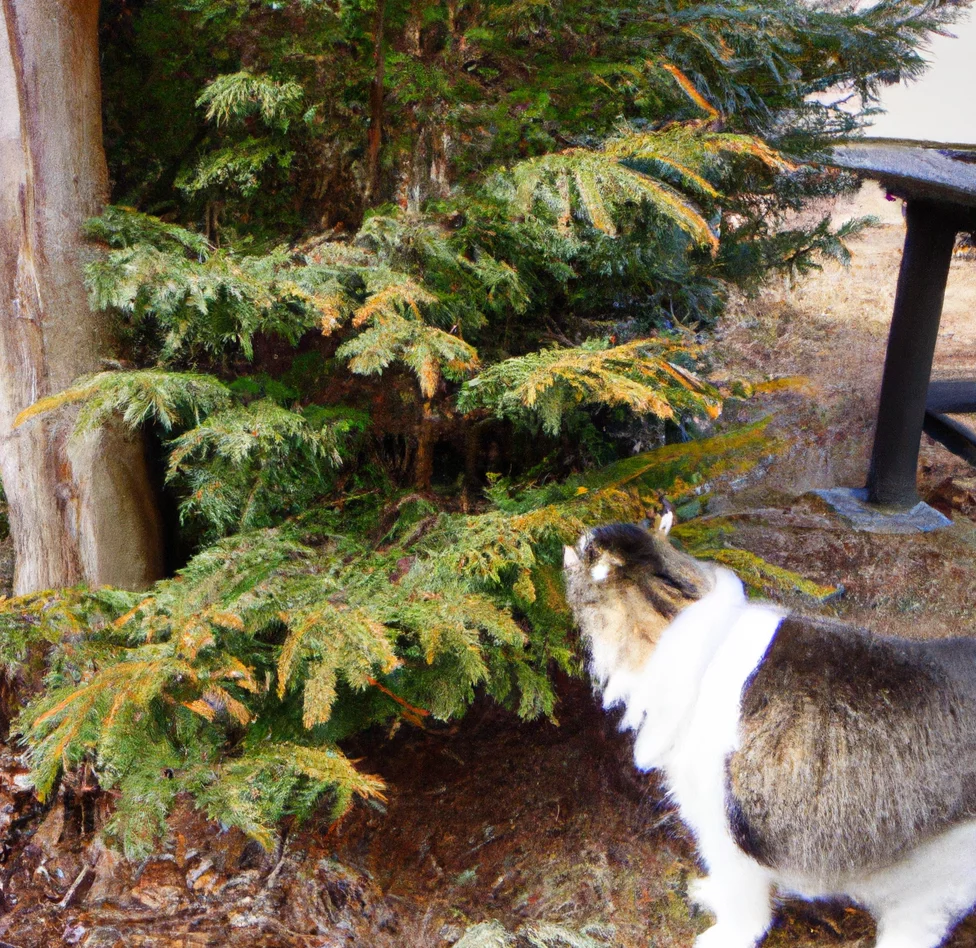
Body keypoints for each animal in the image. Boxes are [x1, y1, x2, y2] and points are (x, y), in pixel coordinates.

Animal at [564, 520, 976, 948]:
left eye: (589, 553)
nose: (581, 533)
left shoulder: (723, 825)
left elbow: (744, 904)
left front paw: (724, 935)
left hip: (942, 867)